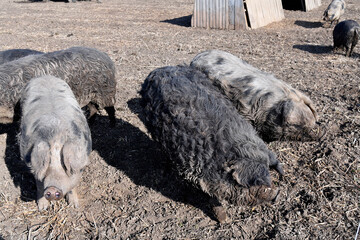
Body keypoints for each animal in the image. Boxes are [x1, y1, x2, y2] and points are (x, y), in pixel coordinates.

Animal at [18, 75, 92, 210]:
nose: (52, 189)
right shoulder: (33, 166)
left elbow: (73, 185)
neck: (56, 137)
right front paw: (42, 208)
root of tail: (45, 76)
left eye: (64, 164)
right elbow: (39, 185)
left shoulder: (79, 168)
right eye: (48, 163)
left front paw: (75, 206)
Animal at [139, 65, 282, 223]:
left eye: (267, 173)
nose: (276, 193)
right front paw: (224, 220)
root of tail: (159, 69)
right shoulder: (197, 174)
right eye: (249, 183)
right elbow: (211, 197)